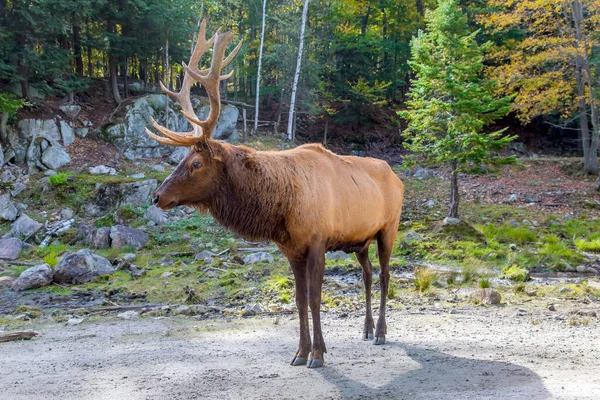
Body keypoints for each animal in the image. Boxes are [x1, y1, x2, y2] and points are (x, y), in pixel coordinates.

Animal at [148, 20, 406, 368]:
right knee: (366, 275)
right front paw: (300, 352)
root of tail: (397, 177)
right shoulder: (292, 250)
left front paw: (318, 354)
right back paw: (365, 330)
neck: (281, 208)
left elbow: (315, 298)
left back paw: (380, 332)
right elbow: (298, 301)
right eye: (181, 159)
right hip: (359, 240)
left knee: (384, 276)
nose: (157, 196)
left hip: (388, 228)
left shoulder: (317, 241)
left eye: (196, 162)